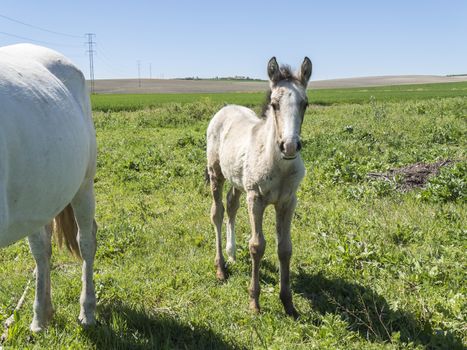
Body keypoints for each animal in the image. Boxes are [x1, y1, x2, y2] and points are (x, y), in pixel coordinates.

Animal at [0, 43, 97, 330]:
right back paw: (40, 315)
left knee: (86, 241)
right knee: (42, 251)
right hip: (39, 200)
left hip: (84, 186)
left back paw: (87, 311)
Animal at [207, 56, 310, 316]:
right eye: (274, 104)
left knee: (231, 206)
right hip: (216, 174)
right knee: (217, 212)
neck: (278, 164)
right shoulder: (256, 198)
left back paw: (232, 254)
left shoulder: (288, 201)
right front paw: (254, 302)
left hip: (237, 181)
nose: (289, 146)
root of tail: (226, 108)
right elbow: (257, 246)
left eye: (305, 104)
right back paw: (221, 267)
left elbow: (285, 248)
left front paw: (288, 303)